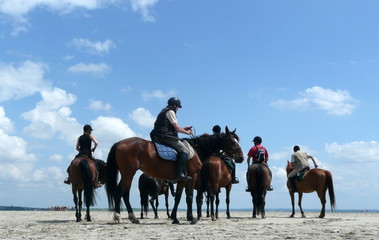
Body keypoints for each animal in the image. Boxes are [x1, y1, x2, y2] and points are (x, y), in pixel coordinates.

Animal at [105, 126, 242, 224]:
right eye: (232, 141)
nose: (241, 157)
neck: (195, 149)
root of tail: (120, 142)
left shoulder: (182, 179)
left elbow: (179, 197)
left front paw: (175, 218)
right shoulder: (192, 177)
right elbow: (190, 197)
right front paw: (191, 218)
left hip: (129, 175)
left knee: (125, 194)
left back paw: (133, 218)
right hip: (128, 173)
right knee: (118, 192)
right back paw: (118, 217)